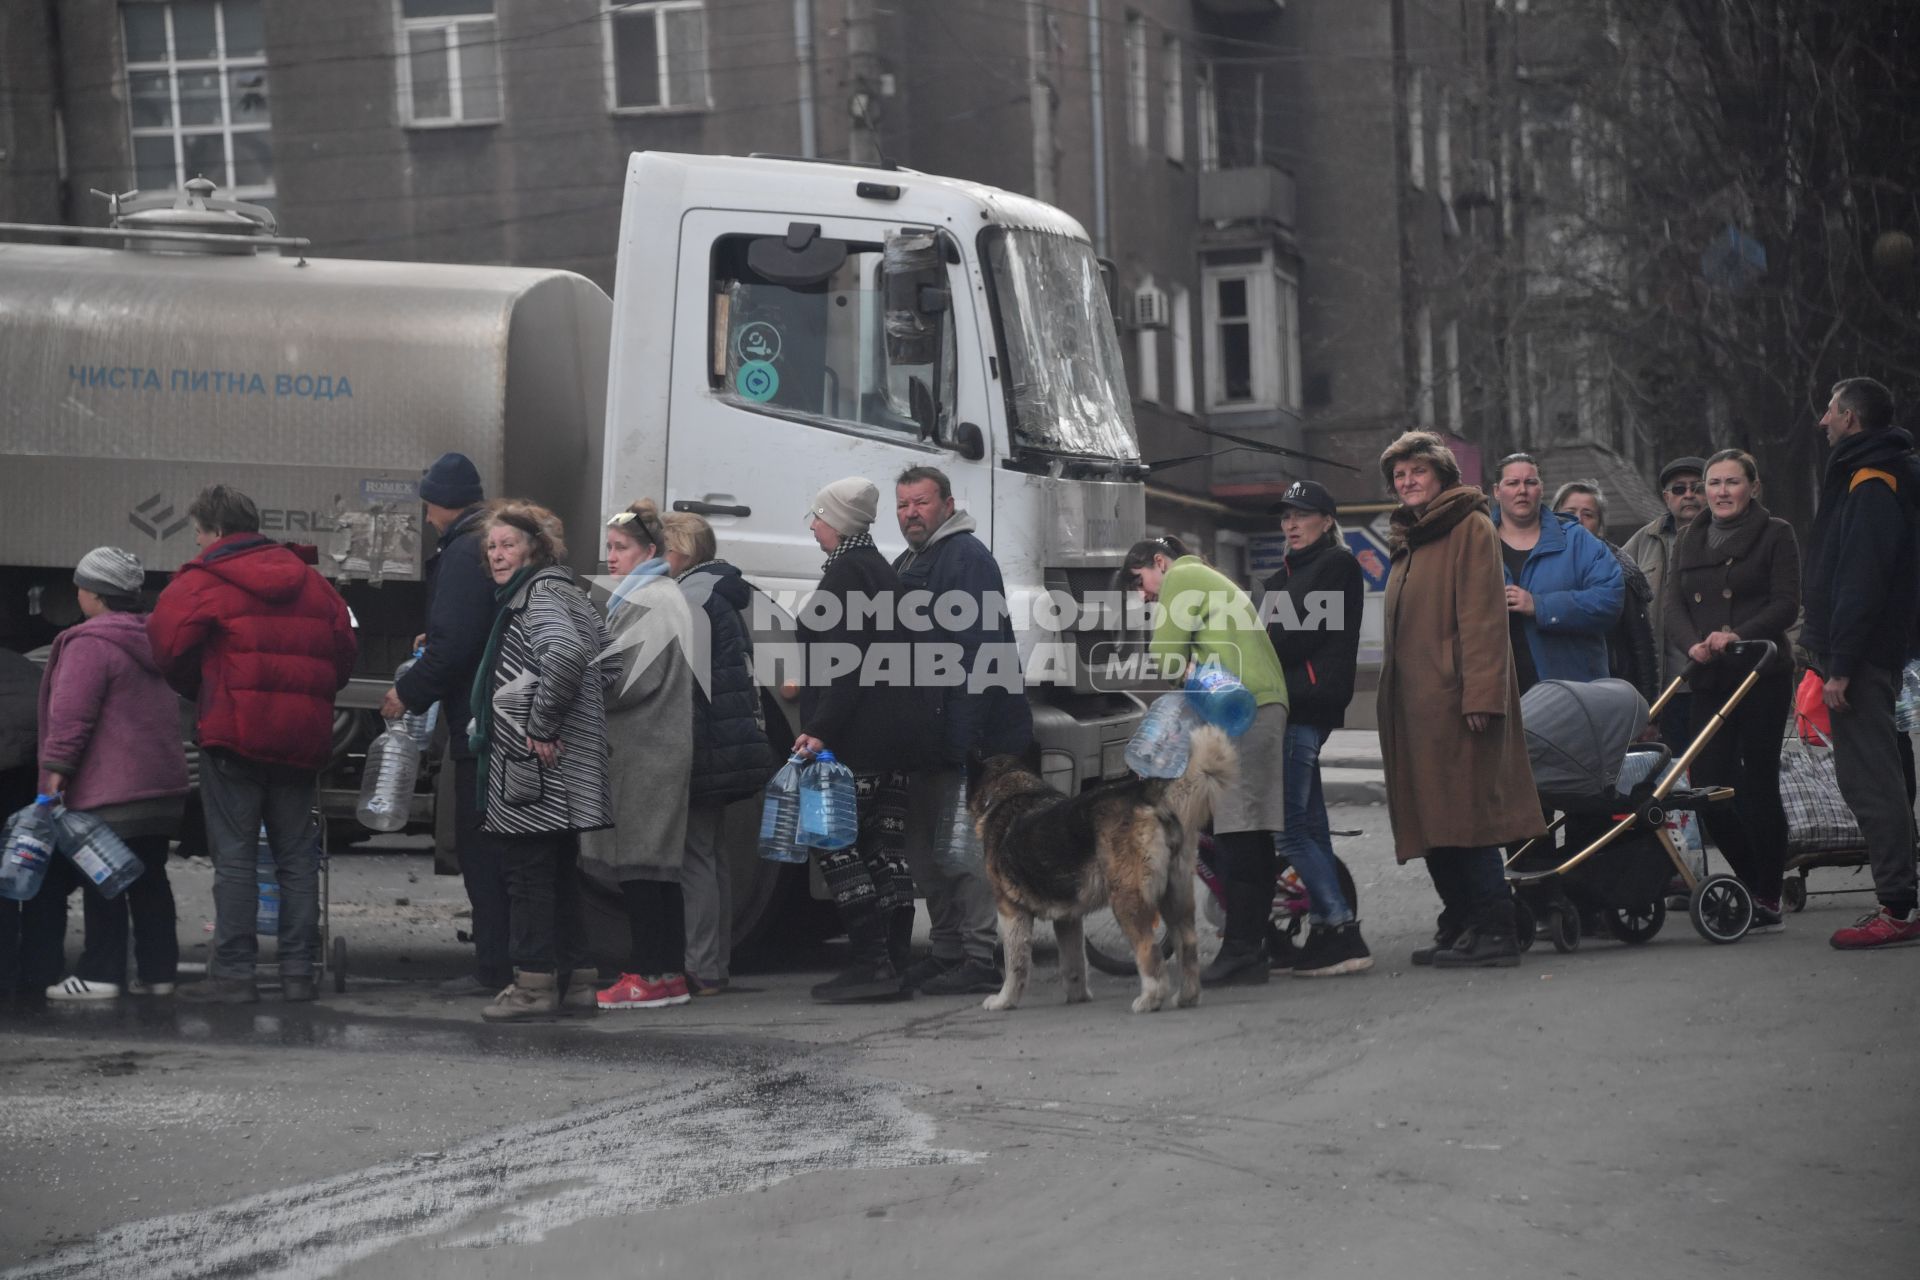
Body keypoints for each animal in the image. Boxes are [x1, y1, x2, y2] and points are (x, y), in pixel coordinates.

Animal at [967, 729, 1236, 1020]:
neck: (1011, 791)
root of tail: (1142, 793)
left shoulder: (1011, 912)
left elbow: (1015, 965)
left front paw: (1004, 1001)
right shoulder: (1068, 919)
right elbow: (1073, 964)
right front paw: (1078, 997)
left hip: (1127, 902)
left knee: (1149, 952)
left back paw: (1150, 999)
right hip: (1176, 898)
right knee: (1187, 946)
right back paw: (1187, 996)